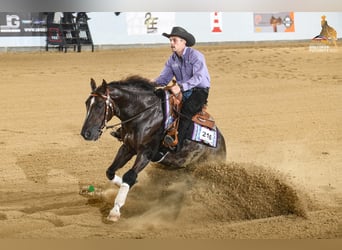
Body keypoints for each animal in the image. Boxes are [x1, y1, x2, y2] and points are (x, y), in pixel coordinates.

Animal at [80, 75, 227, 222]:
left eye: (100, 105)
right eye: (87, 103)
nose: (86, 133)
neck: (145, 115)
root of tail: (221, 145)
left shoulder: (146, 153)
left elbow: (129, 176)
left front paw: (115, 211)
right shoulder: (127, 148)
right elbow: (110, 172)